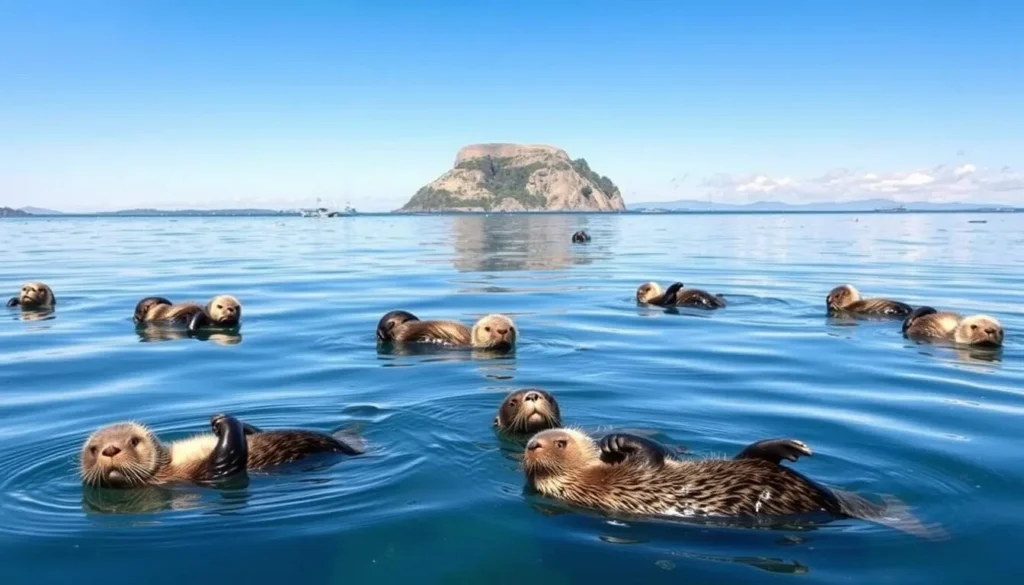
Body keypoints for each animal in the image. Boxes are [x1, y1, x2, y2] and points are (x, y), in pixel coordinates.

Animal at [80, 413, 362, 488]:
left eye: (134, 441)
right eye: (93, 449)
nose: (110, 449)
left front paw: (216, 421)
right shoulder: (202, 474)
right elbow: (228, 455)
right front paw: (224, 423)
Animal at [523, 429, 934, 538]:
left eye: (560, 441)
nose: (532, 444)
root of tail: (837, 505)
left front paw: (612, 443)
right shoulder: (629, 482)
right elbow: (649, 457)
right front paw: (621, 441)